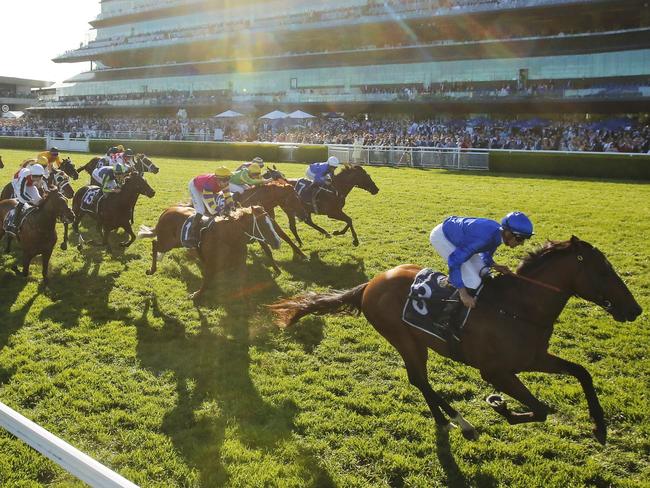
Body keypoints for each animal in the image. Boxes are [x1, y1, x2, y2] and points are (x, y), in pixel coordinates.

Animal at [139, 204, 280, 300]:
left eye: (272, 222)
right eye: (263, 224)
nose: (277, 241)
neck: (229, 235)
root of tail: (167, 211)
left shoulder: (239, 264)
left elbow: (241, 283)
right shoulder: (212, 264)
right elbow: (206, 281)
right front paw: (196, 295)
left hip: (176, 243)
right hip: (167, 243)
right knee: (155, 244)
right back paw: (151, 269)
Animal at [268, 238, 636, 444]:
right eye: (603, 271)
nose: (635, 309)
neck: (518, 308)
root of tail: (370, 283)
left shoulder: (533, 357)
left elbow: (582, 372)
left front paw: (599, 424)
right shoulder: (496, 372)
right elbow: (541, 409)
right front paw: (501, 407)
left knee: (420, 380)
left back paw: (446, 419)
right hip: (404, 338)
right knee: (419, 379)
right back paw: (463, 423)